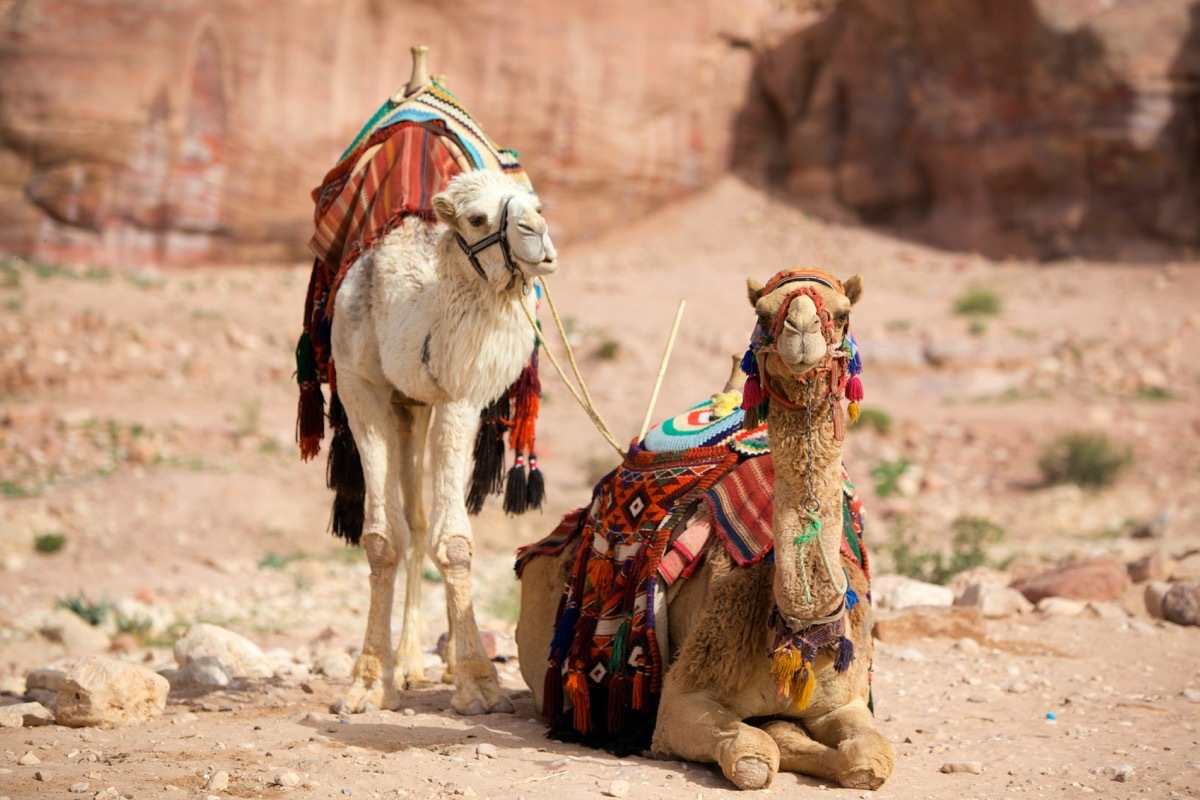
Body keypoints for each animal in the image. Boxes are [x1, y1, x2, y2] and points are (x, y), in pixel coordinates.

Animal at [336, 165, 559, 714]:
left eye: (534, 204)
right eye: (476, 218)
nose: (538, 235)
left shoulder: (462, 393)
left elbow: (453, 541)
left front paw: (477, 681)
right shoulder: (358, 383)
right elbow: (382, 539)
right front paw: (369, 681)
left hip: (422, 408)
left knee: (424, 520)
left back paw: (446, 659)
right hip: (406, 406)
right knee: (412, 521)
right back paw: (408, 663)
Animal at [516, 268, 892, 786]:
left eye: (842, 314)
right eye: (763, 314)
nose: (800, 329)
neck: (796, 633)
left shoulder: (847, 701)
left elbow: (868, 760)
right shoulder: (681, 701)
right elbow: (755, 756)